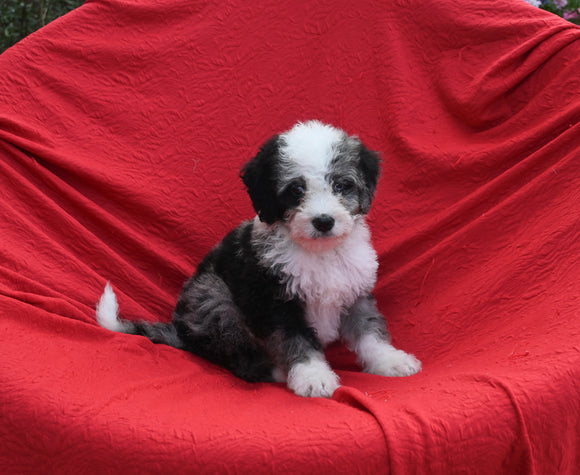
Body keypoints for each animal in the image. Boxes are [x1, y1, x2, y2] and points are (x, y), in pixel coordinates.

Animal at [96, 120, 422, 398]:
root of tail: (183, 334)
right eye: (296, 190)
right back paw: (273, 370)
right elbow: (296, 340)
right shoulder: (275, 300)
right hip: (214, 298)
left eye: (341, 185)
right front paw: (312, 377)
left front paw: (390, 361)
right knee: (234, 354)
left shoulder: (355, 291)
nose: (323, 221)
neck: (320, 252)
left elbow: (369, 330)